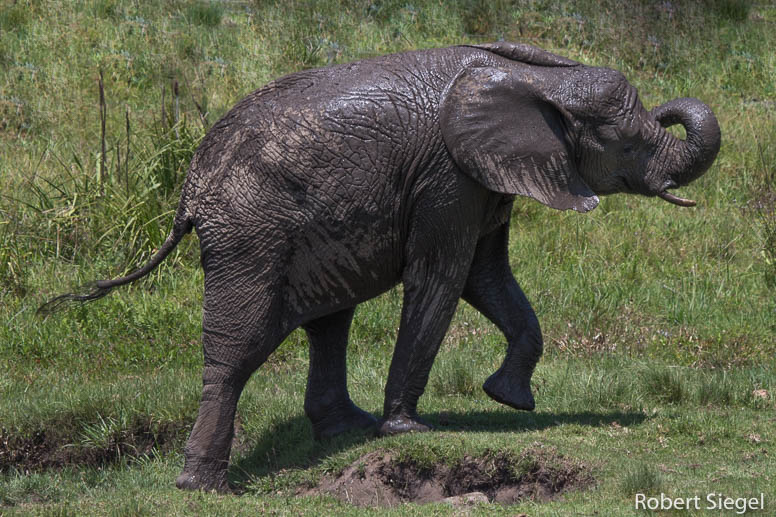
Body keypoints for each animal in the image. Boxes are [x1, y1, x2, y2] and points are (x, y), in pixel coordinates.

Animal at [41, 42, 721, 492]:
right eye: (629, 143)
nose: (670, 112)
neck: (536, 77)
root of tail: (190, 189)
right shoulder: (448, 177)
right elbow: (441, 279)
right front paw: (409, 432)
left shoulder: (482, 178)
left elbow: (488, 279)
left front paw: (509, 400)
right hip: (249, 233)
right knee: (238, 349)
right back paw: (204, 486)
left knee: (328, 321)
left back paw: (345, 431)